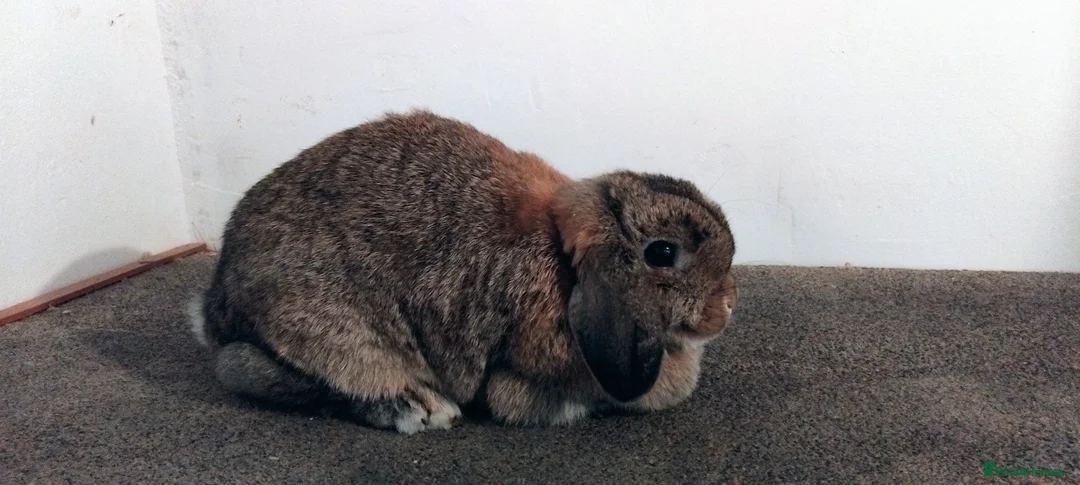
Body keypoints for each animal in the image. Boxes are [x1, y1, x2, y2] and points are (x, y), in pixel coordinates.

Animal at [189, 110, 739, 434]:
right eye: (662, 253)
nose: (728, 304)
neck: (563, 267)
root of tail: (214, 311)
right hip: (328, 332)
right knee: (269, 374)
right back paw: (418, 407)